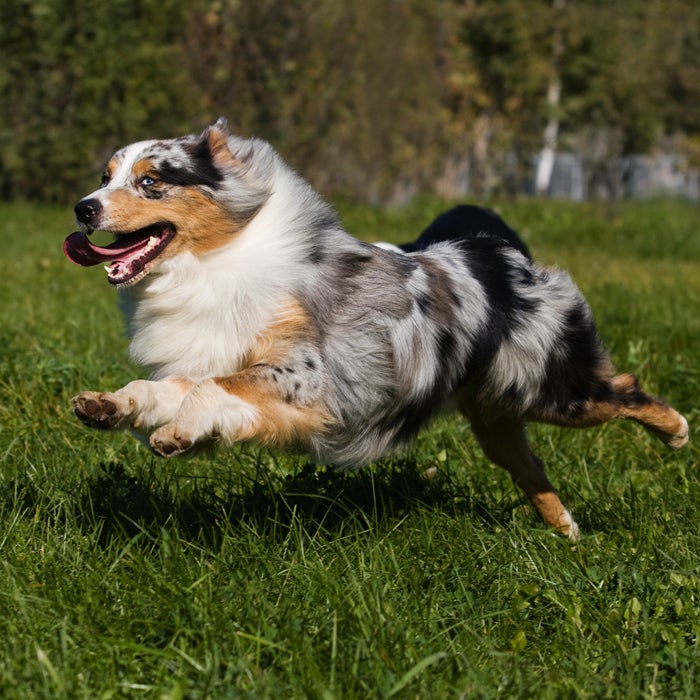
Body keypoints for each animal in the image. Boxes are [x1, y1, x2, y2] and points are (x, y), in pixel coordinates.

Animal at [64, 119, 688, 540]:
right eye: (104, 177)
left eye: (150, 182)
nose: (83, 208)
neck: (215, 262)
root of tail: (497, 249)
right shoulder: (222, 358)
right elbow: (175, 388)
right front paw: (114, 406)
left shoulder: (308, 378)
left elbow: (213, 389)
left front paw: (178, 432)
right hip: (495, 417)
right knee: (530, 467)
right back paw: (568, 534)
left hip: (553, 390)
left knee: (625, 389)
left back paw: (677, 432)